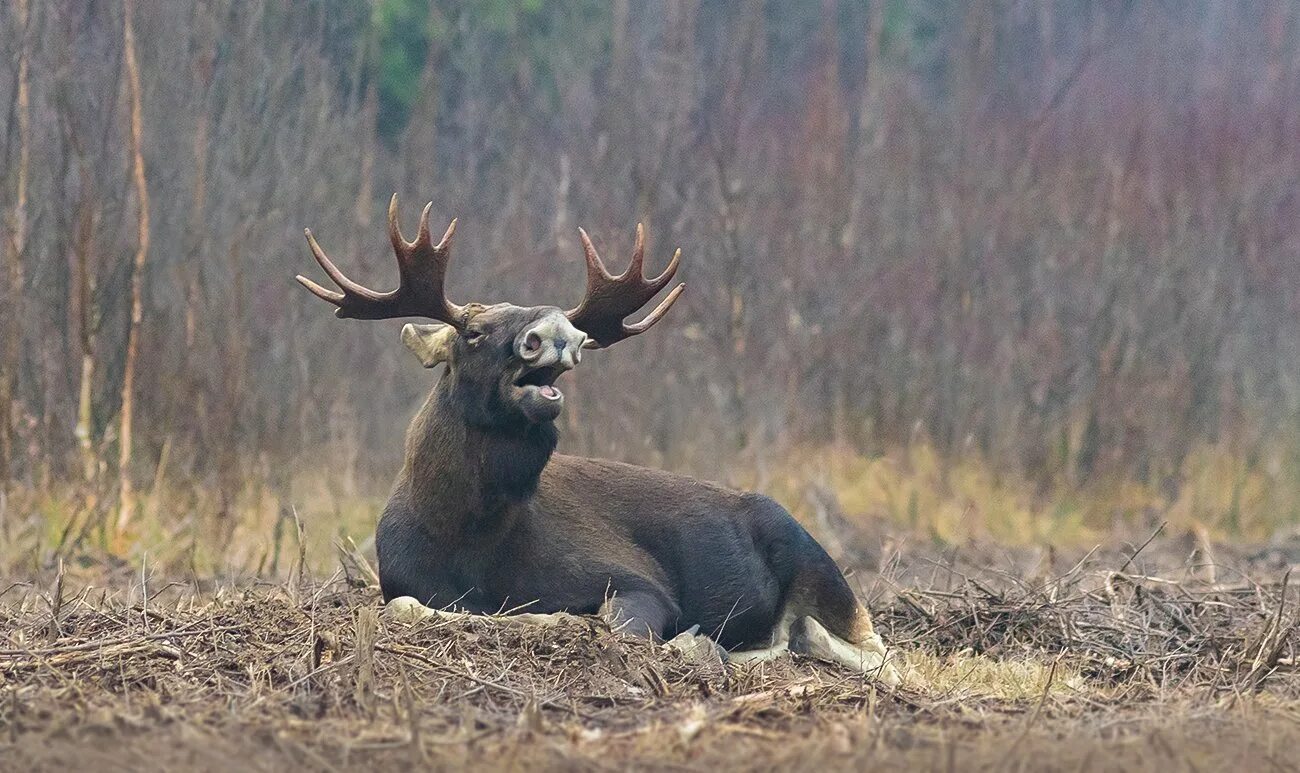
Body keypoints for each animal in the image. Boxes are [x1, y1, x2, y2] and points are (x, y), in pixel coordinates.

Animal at [297, 196, 899, 685]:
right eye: (472, 331)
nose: (558, 331)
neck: (469, 532)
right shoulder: (402, 578)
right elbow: (406, 605)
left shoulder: (640, 583)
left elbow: (598, 620)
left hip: (813, 557)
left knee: (872, 650)